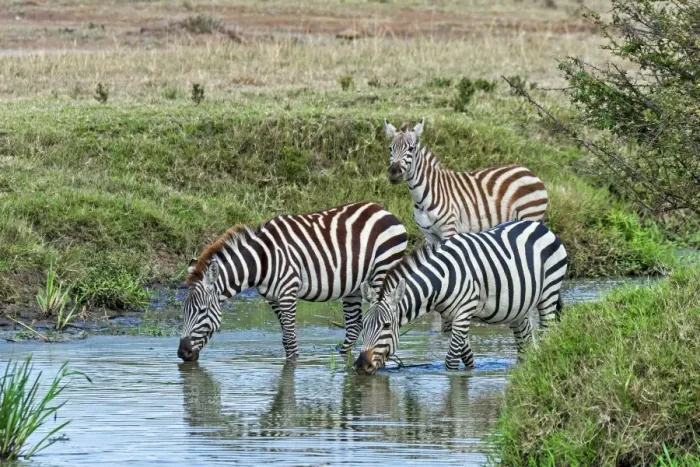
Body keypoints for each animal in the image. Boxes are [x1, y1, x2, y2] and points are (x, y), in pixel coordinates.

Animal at [178, 201, 408, 362]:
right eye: (184, 311)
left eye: (201, 311)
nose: (182, 353)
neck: (261, 261)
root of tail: (383, 210)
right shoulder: (273, 298)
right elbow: (285, 338)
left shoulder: (288, 292)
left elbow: (289, 338)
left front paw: (292, 368)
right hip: (354, 286)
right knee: (354, 326)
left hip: (382, 271)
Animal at [354, 220, 568, 374]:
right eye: (363, 325)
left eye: (386, 326)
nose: (361, 365)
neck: (442, 279)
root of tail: (539, 226)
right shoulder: (451, 315)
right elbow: (467, 356)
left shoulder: (464, 311)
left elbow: (451, 361)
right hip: (519, 308)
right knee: (525, 346)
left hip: (549, 292)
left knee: (548, 331)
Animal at [384, 118, 549, 245]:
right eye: (390, 148)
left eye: (411, 149)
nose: (393, 172)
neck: (423, 197)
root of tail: (528, 171)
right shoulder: (429, 236)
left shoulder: (449, 230)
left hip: (530, 215)